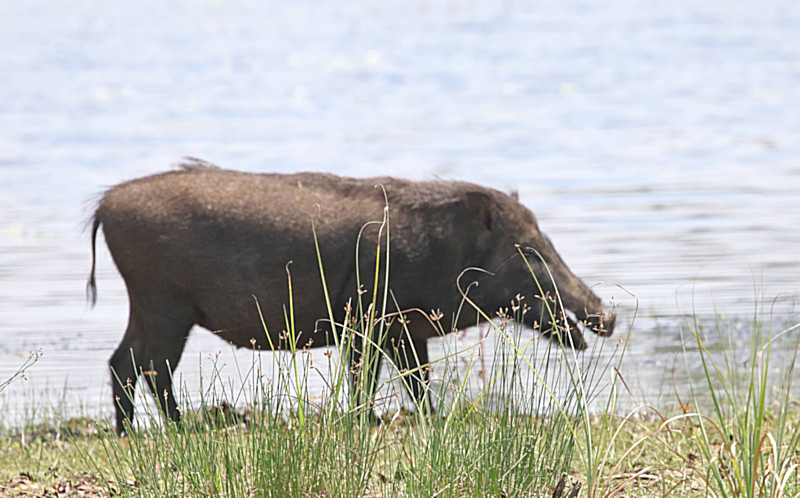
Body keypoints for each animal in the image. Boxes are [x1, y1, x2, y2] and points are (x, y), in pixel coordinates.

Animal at [87, 159, 615, 433]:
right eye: (529, 249)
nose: (608, 317)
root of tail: (106, 205)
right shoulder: (368, 323)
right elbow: (365, 378)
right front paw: (368, 420)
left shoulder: (406, 331)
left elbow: (419, 381)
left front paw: (430, 417)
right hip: (164, 306)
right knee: (146, 367)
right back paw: (174, 429)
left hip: (154, 309)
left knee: (125, 364)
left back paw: (142, 430)